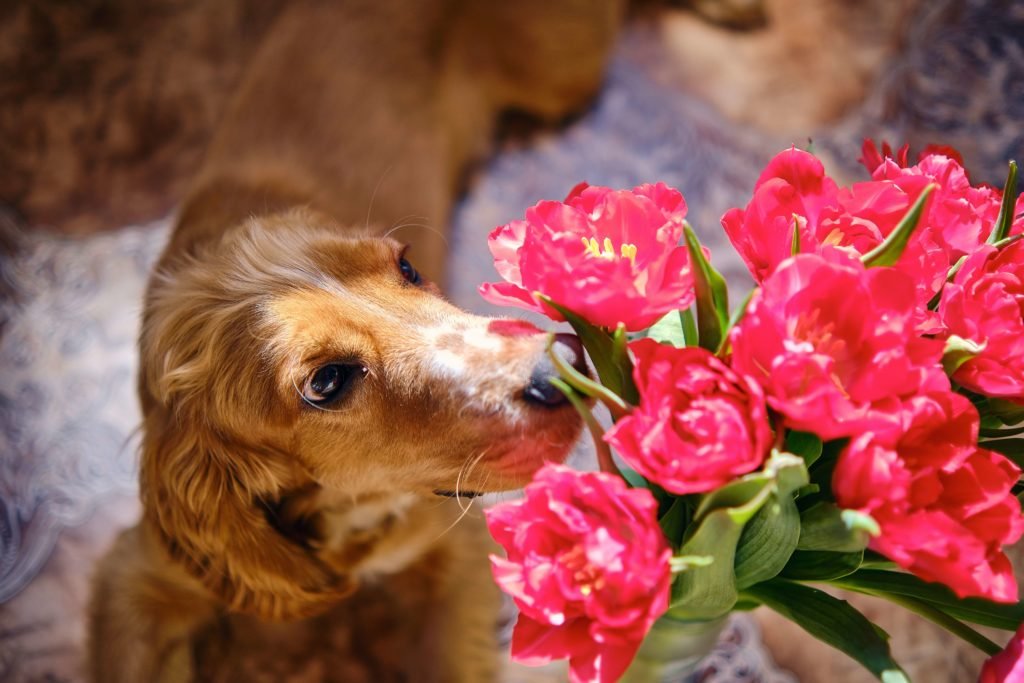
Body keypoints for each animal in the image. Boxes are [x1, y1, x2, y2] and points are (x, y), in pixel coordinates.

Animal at [88, 2, 626, 679]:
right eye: (326, 382)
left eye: (408, 266)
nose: (564, 369)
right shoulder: (137, 575)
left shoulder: (453, 544)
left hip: (562, 69)